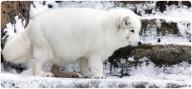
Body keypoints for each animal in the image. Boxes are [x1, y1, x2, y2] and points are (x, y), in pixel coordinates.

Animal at [2, 7, 141, 77]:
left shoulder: (86, 54)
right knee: (36, 67)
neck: (107, 29)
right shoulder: (95, 53)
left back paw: (72, 74)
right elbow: (97, 66)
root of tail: (30, 26)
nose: (140, 43)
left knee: (55, 69)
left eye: (138, 31)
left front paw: (87, 74)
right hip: (44, 50)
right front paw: (99, 75)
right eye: (132, 30)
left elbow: (84, 66)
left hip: (61, 55)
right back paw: (44, 74)